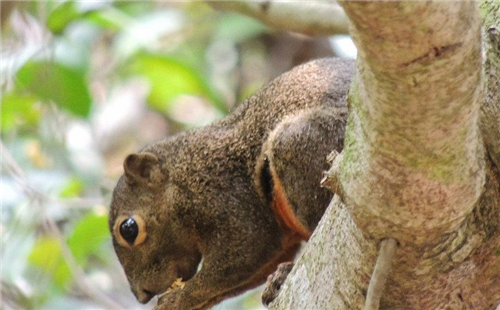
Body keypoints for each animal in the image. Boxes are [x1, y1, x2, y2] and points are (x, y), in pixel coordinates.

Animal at [108, 58, 354, 310]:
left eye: (128, 229)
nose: (142, 295)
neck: (183, 177)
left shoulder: (225, 197)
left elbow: (245, 251)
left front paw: (176, 299)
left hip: (299, 142)